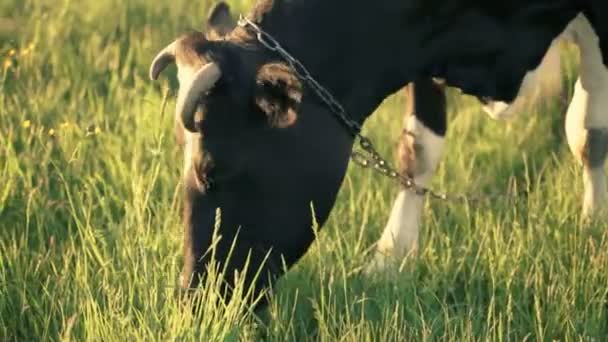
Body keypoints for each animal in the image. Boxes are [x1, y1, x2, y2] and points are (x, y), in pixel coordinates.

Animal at [148, 0, 608, 310]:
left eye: (211, 170)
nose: (194, 299)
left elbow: (590, 133)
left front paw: (594, 227)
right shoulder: (421, 42)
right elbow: (417, 148)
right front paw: (391, 259)